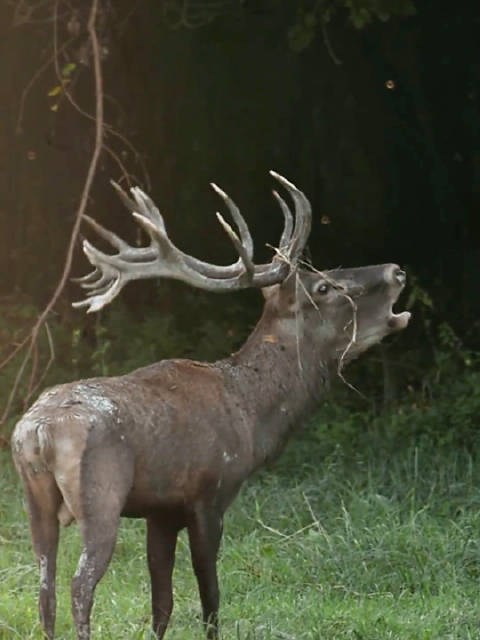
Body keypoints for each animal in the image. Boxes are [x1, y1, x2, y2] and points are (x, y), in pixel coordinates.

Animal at [11, 171, 410, 640]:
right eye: (325, 287)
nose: (397, 270)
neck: (251, 416)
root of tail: (37, 432)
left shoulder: (161, 510)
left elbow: (162, 602)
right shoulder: (211, 492)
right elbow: (210, 596)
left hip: (33, 497)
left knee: (45, 588)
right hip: (100, 493)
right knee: (79, 585)